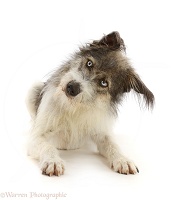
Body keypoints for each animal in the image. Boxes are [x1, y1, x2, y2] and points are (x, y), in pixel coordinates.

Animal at [25, 31, 154, 177]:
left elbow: (113, 145)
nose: (72, 87)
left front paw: (123, 160)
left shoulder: (102, 133)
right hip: (33, 89)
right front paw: (53, 161)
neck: (75, 107)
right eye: (89, 63)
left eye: (104, 83)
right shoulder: (36, 138)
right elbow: (47, 146)